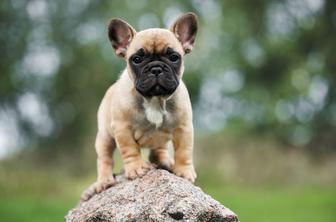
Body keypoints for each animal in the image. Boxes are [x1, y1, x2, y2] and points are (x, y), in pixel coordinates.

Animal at [81, 12, 197, 201]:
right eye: (136, 59)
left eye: (174, 57)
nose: (156, 69)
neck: (155, 99)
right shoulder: (123, 128)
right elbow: (130, 150)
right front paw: (136, 168)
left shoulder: (184, 128)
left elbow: (184, 151)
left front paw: (184, 172)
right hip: (104, 137)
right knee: (105, 159)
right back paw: (104, 181)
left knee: (158, 150)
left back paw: (165, 160)